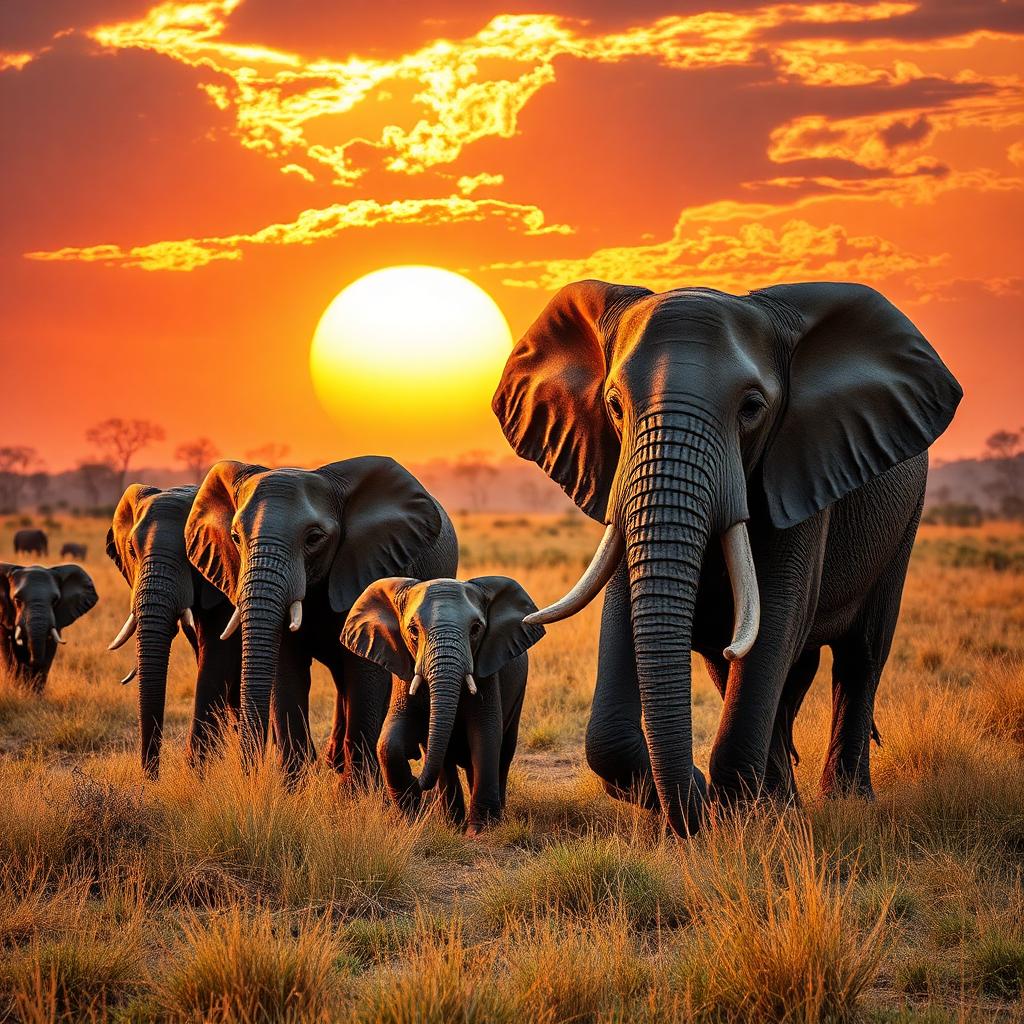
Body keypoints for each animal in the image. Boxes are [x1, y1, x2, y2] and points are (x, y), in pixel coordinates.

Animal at [0, 562, 97, 691]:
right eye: (17, 600)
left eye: (55, 601)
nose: (30, 662)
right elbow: (8, 653)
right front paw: (17, 690)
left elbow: (49, 652)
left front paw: (34, 693)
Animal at [184, 456, 458, 780]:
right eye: (236, 538)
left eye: (314, 538)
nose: (248, 773)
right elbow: (287, 670)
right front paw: (293, 786)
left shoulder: (373, 563)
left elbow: (365, 675)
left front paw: (357, 790)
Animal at [341, 576, 544, 831]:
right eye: (413, 630)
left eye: (476, 629)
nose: (416, 779)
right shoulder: (404, 670)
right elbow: (390, 739)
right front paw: (409, 813)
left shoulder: (487, 673)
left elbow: (485, 733)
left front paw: (480, 831)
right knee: (444, 758)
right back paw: (452, 823)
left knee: (504, 750)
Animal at [492, 280, 962, 835]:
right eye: (614, 406)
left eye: (752, 408)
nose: (693, 800)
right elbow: (626, 619)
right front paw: (721, 804)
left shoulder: (802, 469)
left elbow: (777, 616)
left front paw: (731, 810)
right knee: (758, 668)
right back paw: (784, 800)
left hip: (906, 521)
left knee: (860, 655)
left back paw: (844, 801)